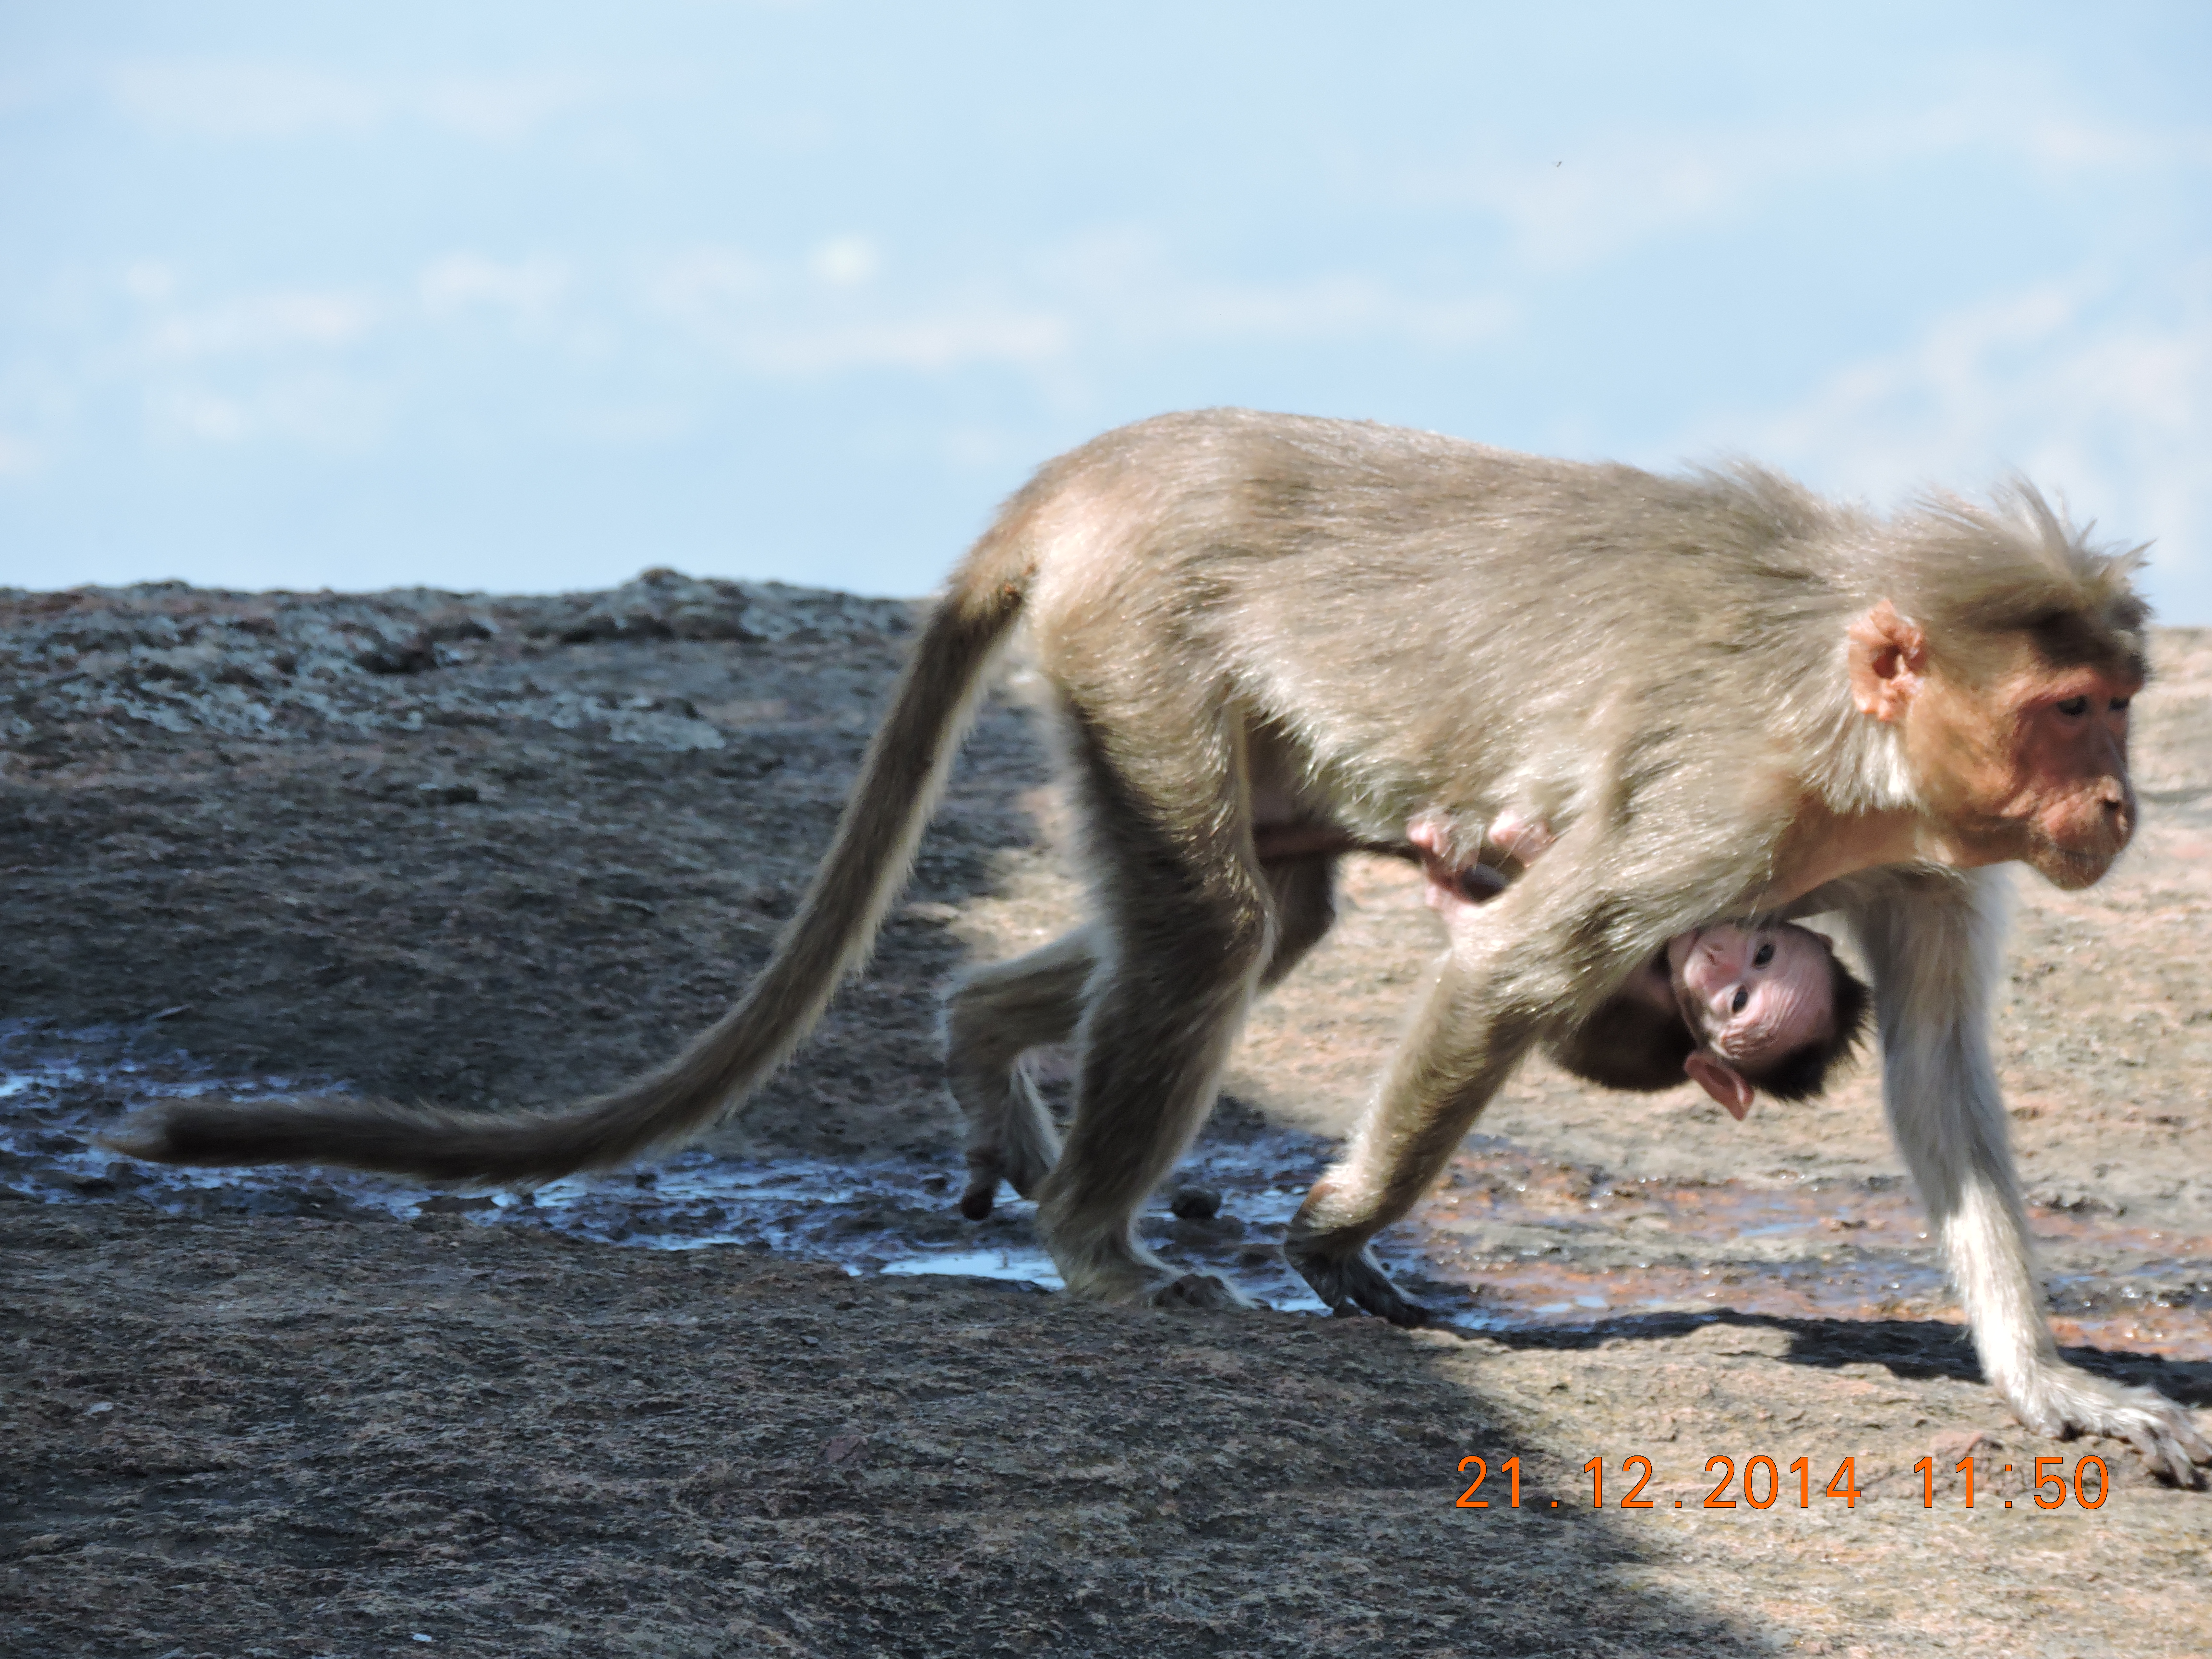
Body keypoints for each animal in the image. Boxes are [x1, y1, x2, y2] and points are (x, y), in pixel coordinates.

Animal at [112, 413, 2203, 1478]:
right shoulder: (1720, 808)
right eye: (2072, 715)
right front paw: (1339, 1237)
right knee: (1212, 929)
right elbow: (1511, 971)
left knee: (1255, 916)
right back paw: (1097, 1247)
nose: (2116, 809)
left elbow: (1938, 1082)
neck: (1854, 742)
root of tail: (1115, 463)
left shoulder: (1919, 864)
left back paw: (981, 1050)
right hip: (1142, 641)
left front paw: (2049, 1382)